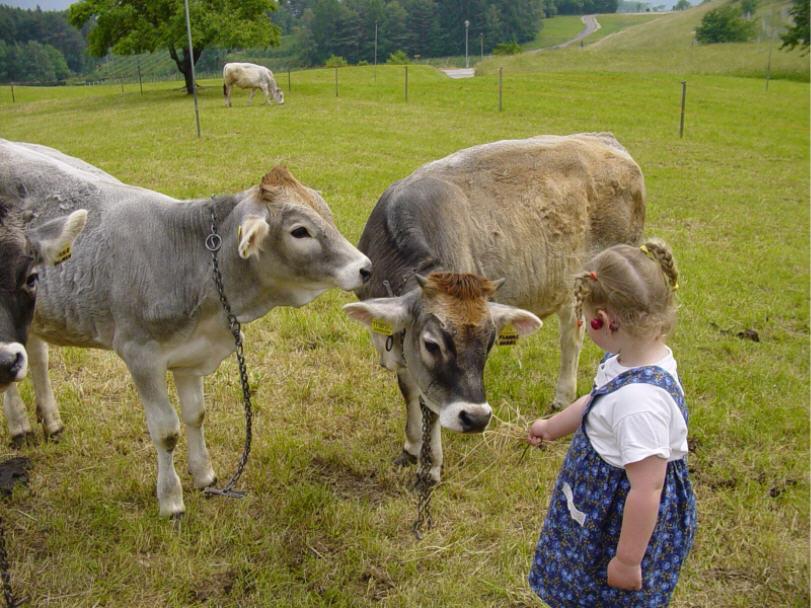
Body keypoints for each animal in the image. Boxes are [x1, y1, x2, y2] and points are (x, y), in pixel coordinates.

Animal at [344, 132, 648, 480]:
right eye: (431, 344)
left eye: (490, 343)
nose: (476, 418)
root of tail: (604, 139)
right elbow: (410, 389)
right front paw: (410, 447)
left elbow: (430, 406)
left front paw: (430, 467)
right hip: (570, 287)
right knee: (572, 335)